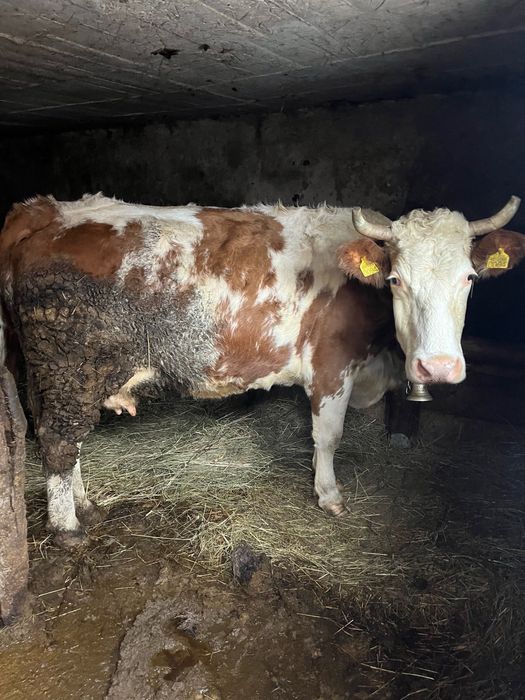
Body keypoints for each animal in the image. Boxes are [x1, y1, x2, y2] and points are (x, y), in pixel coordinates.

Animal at [0, 193, 524, 547]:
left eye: (470, 278)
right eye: (395, 280)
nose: (438, 366)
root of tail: (49, 210)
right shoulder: (333, 365)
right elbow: (328, 435)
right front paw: (328, 493)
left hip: (58, 373)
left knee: (63, 438)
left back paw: (85, 505)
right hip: (70, 367)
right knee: (58, 439)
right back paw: (68, 526)